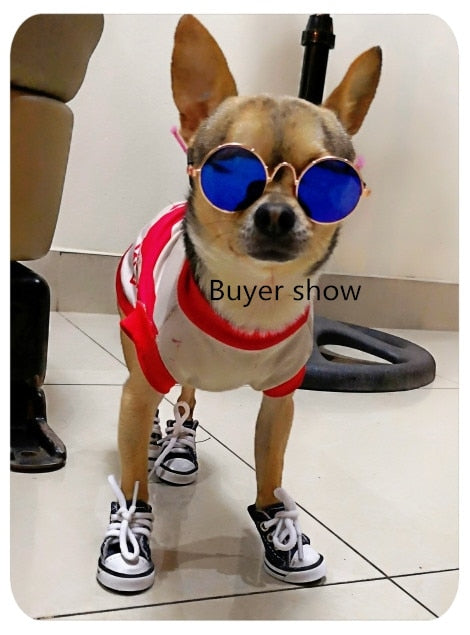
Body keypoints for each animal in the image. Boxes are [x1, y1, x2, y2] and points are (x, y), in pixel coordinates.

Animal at [96, 12, 382, 592]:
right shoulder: (141, 382)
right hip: (135, 340)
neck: (253, 296)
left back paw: (181, 447)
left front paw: (278, 531)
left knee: (187, 400)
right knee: (159, 399)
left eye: (331, 183)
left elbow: (271, 472)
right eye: (227, 173)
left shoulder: (281, 400)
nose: (276, 213)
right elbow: (134, 476)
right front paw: (130, 532)